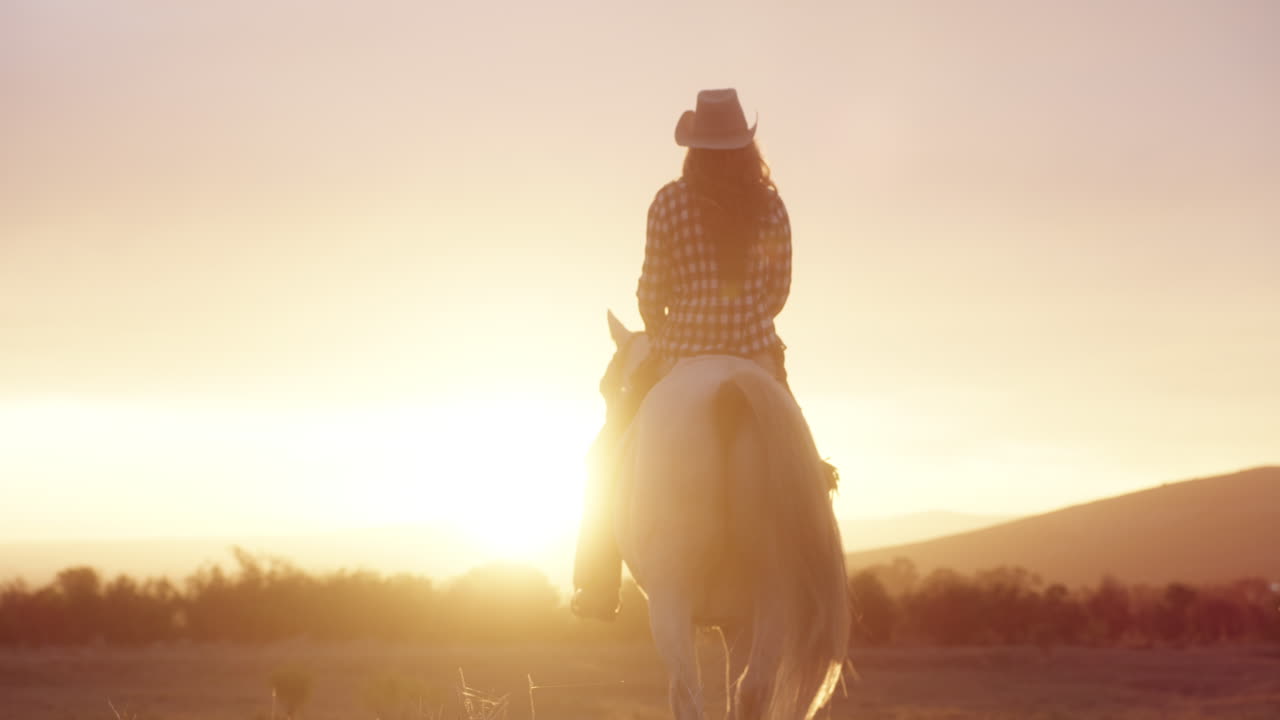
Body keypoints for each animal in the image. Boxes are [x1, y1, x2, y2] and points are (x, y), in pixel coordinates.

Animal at [603, 311, 850, 720]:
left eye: (606, 387)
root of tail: (728, 385)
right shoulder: (740, 622)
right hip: (775, 593)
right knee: (753, 689)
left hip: (671, 599)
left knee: (689, 692)